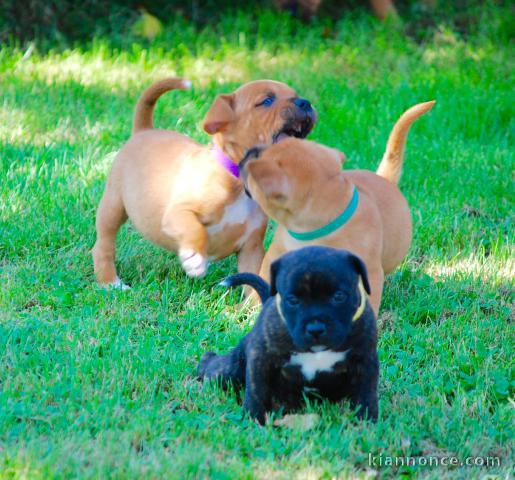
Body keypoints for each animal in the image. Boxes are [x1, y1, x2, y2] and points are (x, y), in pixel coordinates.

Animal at [94, 77, 316, 286]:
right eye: (267, 101)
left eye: (295, 95)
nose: (305, 102)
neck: (235, 180)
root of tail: (143, 130)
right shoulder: (178, 213)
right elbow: (195, 229)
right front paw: (194, 257)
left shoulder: (251, 248)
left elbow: (253, 281)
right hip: (113, 206)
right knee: (103, 245)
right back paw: (110, 282)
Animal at [198, 246, 378, 426]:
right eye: (292, 300)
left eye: (339, 296)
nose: (315, 328)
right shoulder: (260, 359)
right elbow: (257, 391)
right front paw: (253, 418)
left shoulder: (365, 361)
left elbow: (366, 393)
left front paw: (366, 421)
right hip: (230, 370)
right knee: (215, 368)